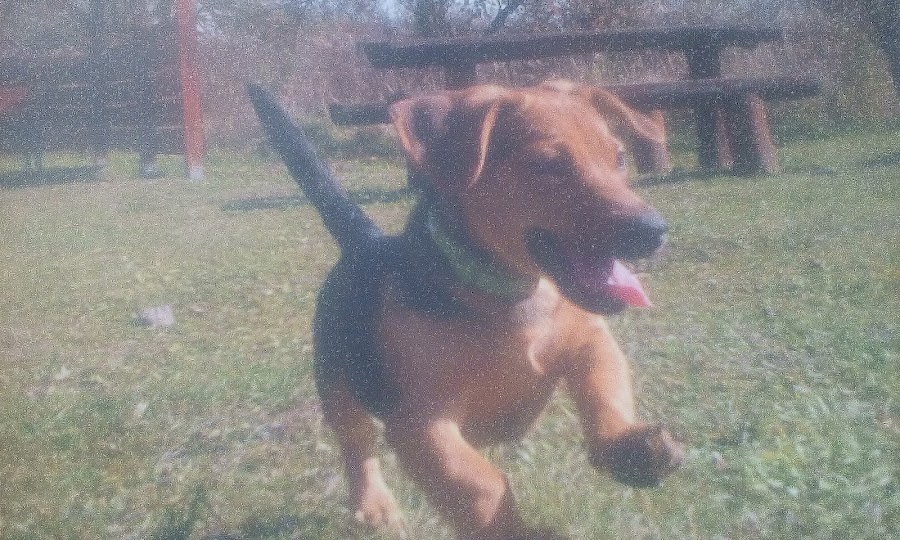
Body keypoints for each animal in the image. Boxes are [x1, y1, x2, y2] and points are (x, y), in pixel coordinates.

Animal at [248, 80, 684, 540]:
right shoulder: (421, 424)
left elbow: (605, 397)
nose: (654, 230)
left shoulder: (593, 343)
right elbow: (481, 487)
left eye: (619, 158)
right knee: (357, 444)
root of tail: (367, 241)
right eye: (547, 165)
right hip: (337, 384)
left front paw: (628, 448)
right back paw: (374, 505)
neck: (506, 295)